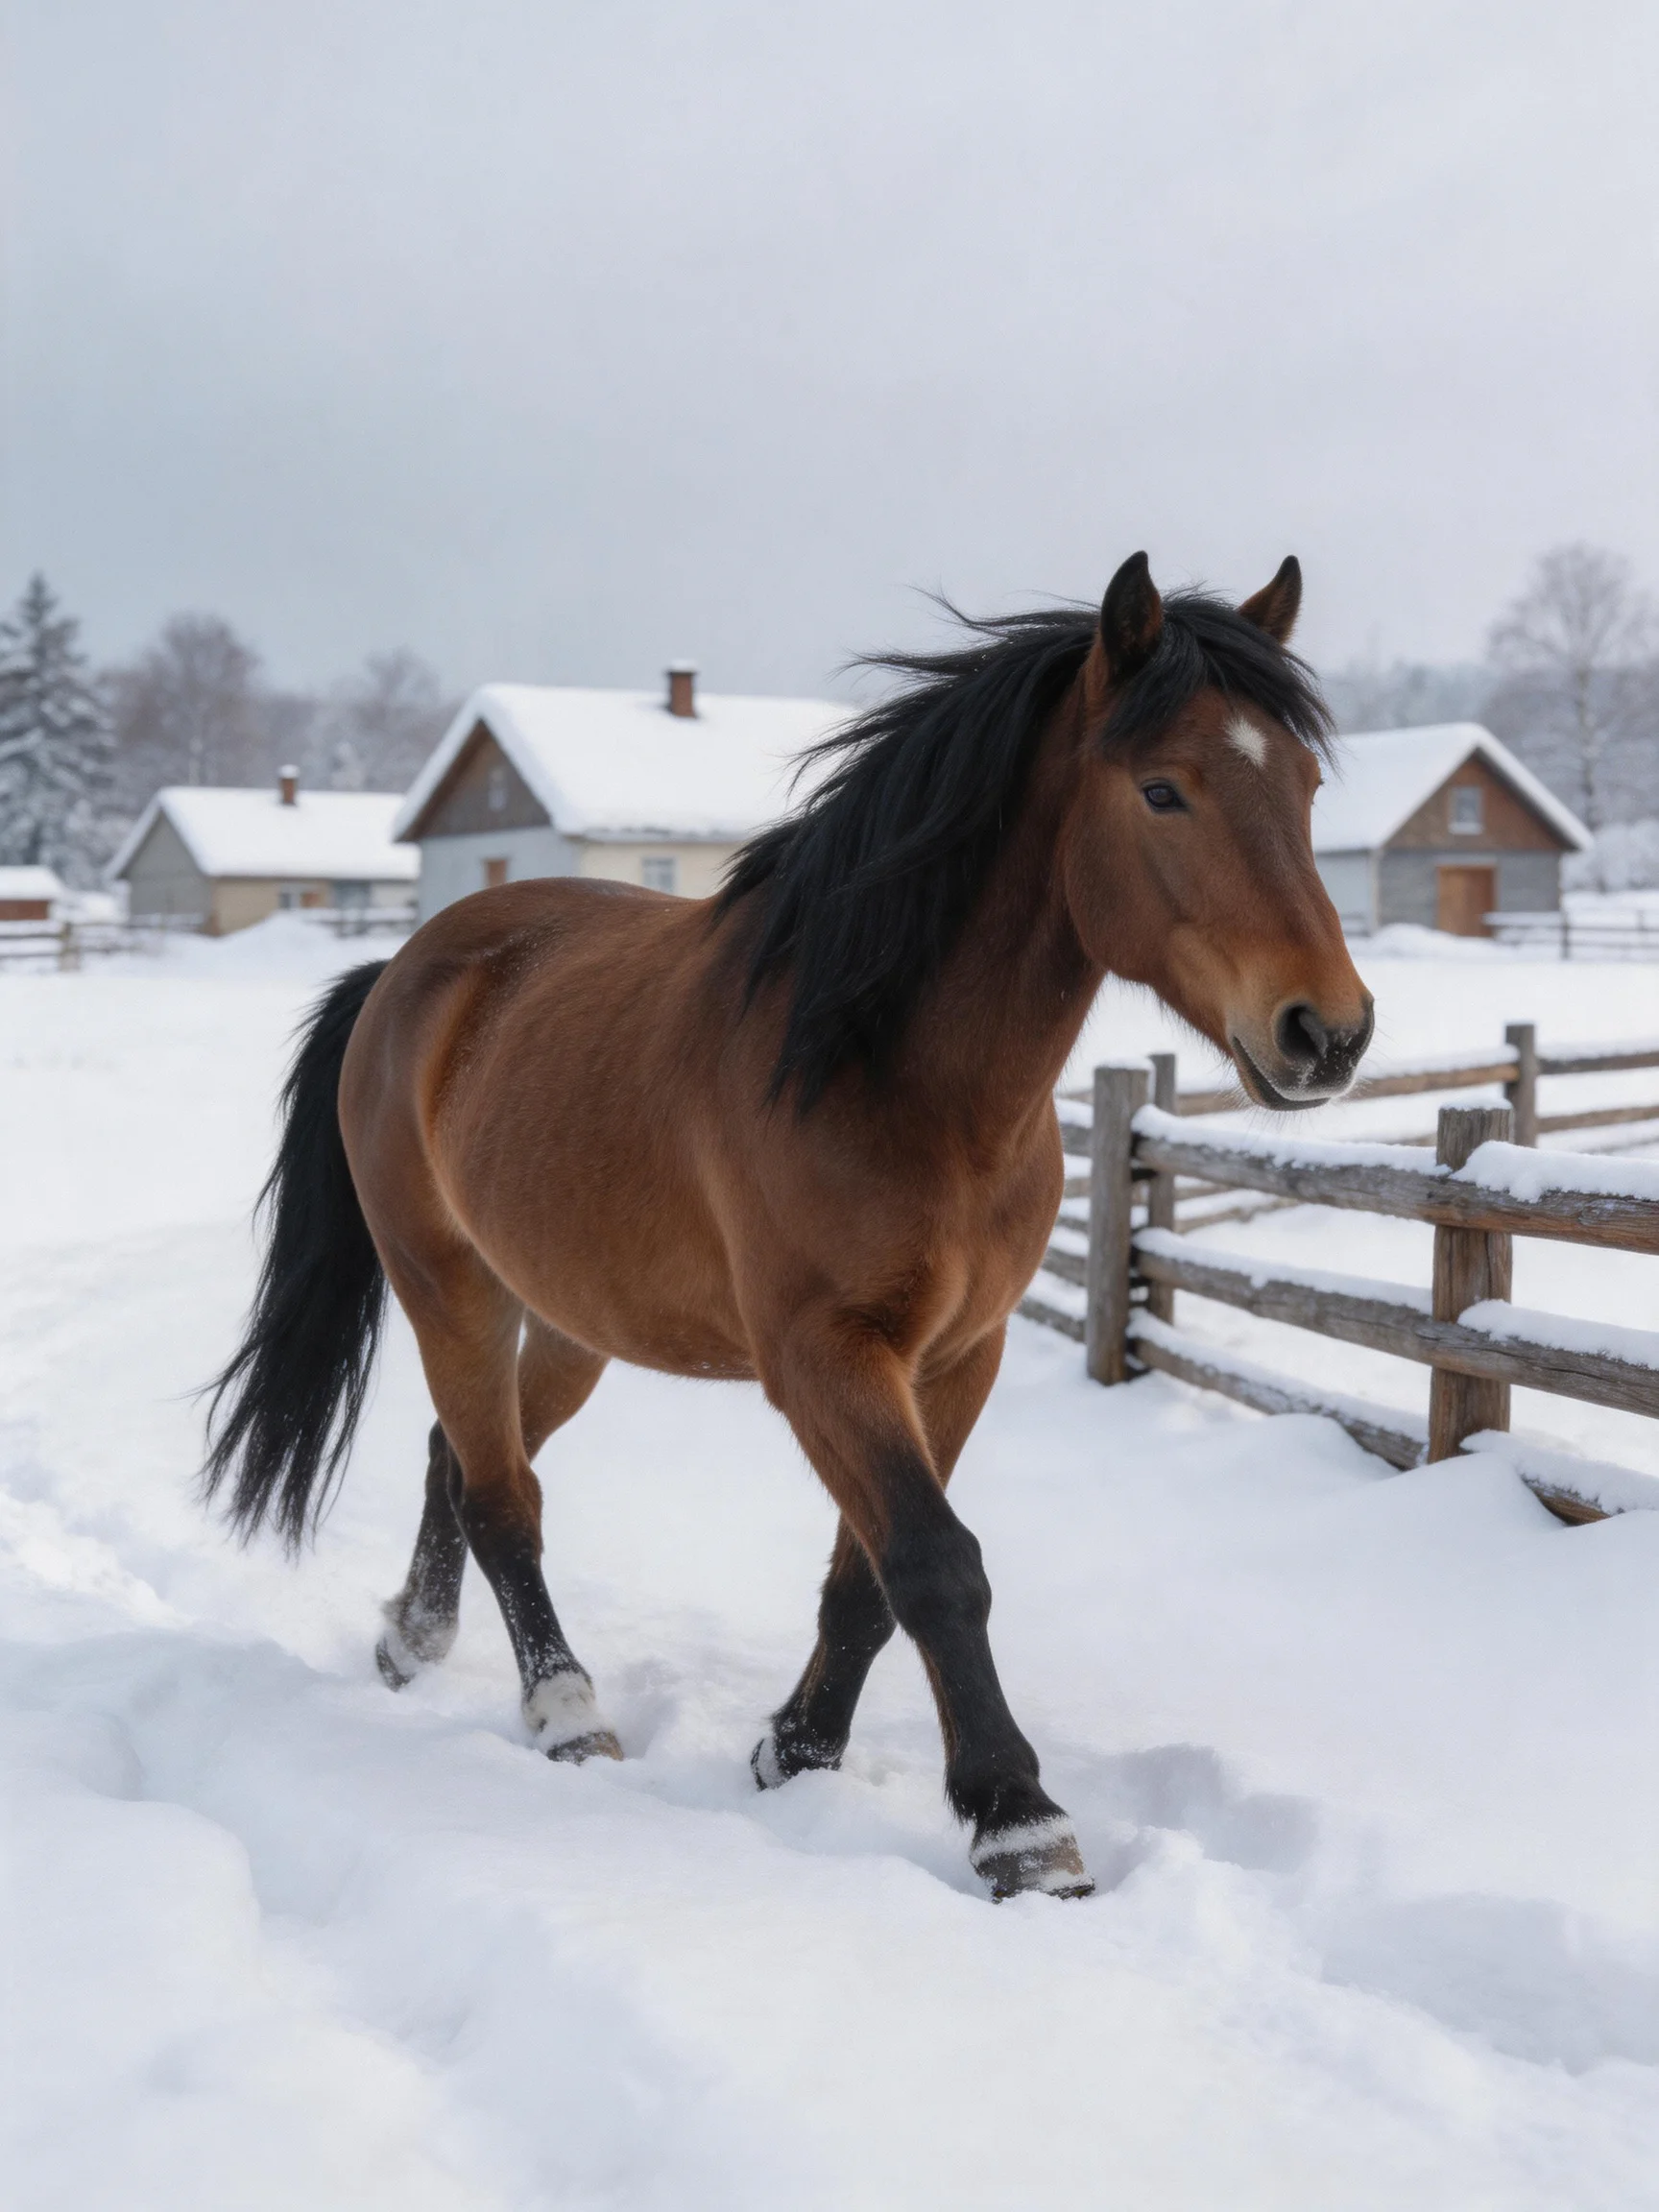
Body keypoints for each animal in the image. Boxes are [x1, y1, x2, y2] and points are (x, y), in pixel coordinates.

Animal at [204, 552, 1372, 1901]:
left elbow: (869, 1577)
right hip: (449, 1286)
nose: (1328, 1032)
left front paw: (798, 1751)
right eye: (1163, 790)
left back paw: (413, 1636)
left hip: (572, 1319)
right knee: (502, 1498)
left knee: (466, 1458)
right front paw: (1019, 1824)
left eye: (1306, 786)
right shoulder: (825, 1355)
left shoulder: (956, 1357)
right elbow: (936, 1564)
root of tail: (405, 971)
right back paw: (564, 1715)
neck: (889, 1075)